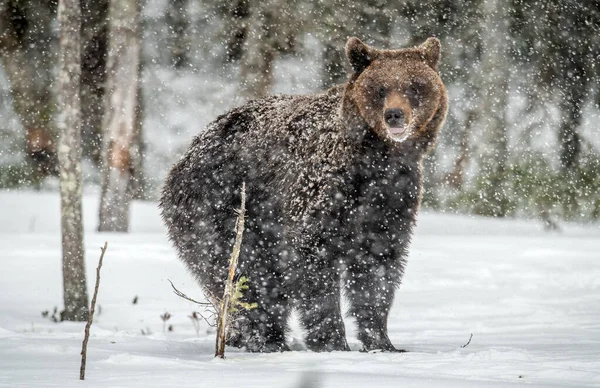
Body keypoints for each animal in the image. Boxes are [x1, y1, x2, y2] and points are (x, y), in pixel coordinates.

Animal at [162, 36, 448, 352]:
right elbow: (314, 263)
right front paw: (333, 341)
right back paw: (265, 340)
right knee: (246, 276)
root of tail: (187, 152)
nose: (394, 115)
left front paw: (382, 341)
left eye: (414, 86)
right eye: (380, 88)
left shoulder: (392, 197)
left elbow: (379, 267)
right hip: (221, 208)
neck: (376, 160)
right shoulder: (318, 190)